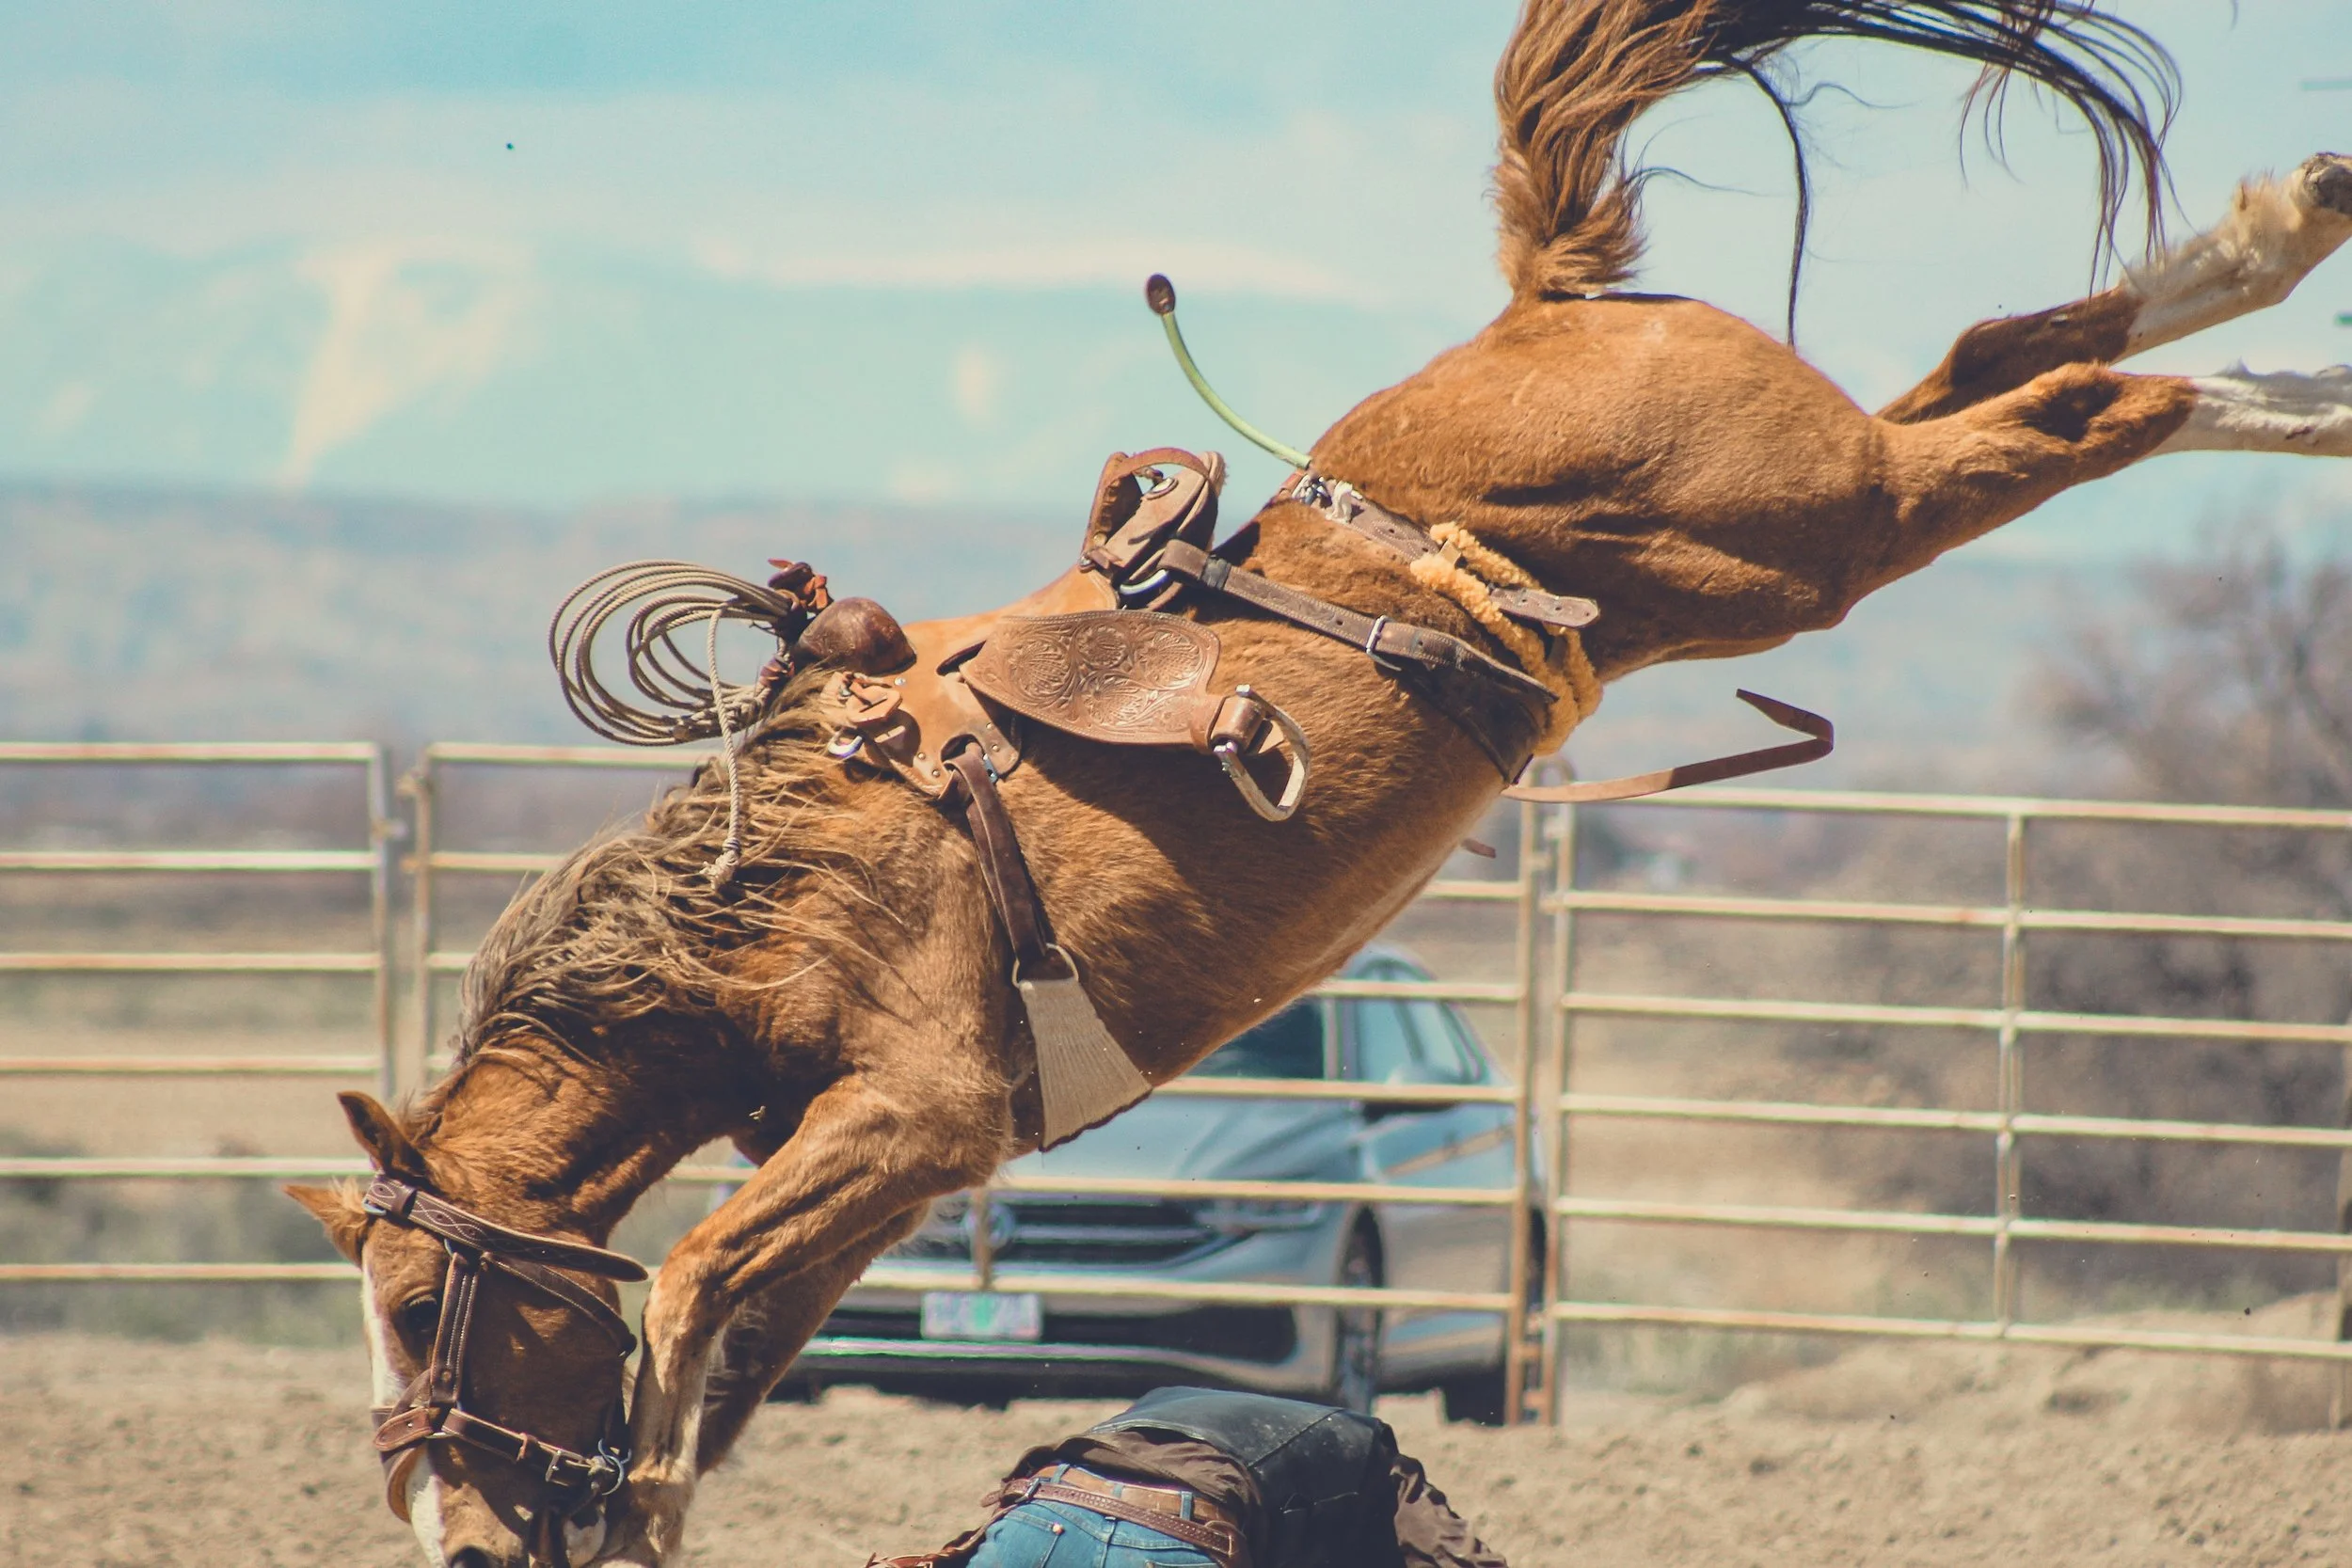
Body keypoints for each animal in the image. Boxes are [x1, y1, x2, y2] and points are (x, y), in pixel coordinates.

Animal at [288, 2, 2352, 1563]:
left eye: (416, 1307)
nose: (455, 1537)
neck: (768, 901)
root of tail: (1542, 304)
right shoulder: (906, 1161)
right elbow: (731, 1337)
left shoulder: (911, 1104)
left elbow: (697, 1285)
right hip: (1797, 515)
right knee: (2000, 357)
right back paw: (2294, 241)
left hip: (1811, 525)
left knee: (2070, 404)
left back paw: (2300, 318)